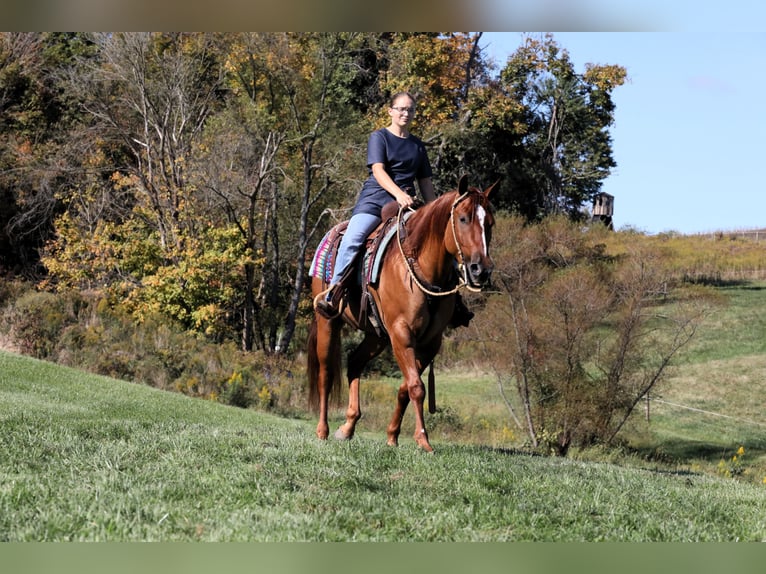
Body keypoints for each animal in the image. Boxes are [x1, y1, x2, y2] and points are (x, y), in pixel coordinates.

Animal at [306, 176, 498, 454]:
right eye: (463, 218)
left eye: (490, 223)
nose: (480, 270)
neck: (422, 267)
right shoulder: (401, 334)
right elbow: (417, 387)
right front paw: (423, 439)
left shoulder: (430, 342)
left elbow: (406, 387)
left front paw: (392, 436)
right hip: (328, 321)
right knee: (326, 373)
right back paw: (323, 430)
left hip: (376, 336)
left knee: (354, 363)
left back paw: (348, 426)